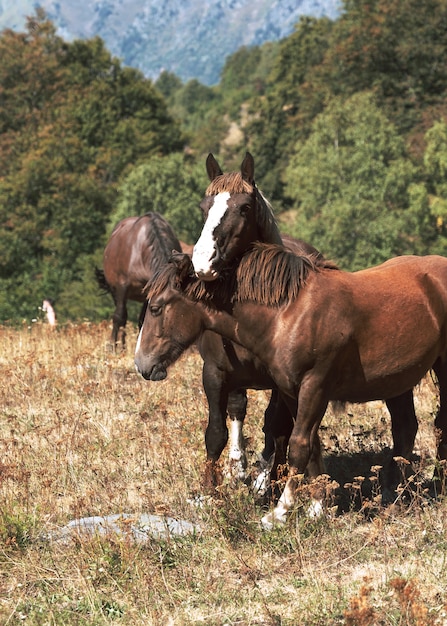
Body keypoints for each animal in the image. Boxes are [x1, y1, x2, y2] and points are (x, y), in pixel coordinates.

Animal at [135, 244, 447, 528]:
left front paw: (280, 512)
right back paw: (393, 495)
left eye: (156, 308)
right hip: (397, 382)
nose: (142, 364)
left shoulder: (315, 387)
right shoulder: (289, 391)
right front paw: (319, 506)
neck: (289, 315)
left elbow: (298, 445)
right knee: (405, 430)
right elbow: (311, 445)